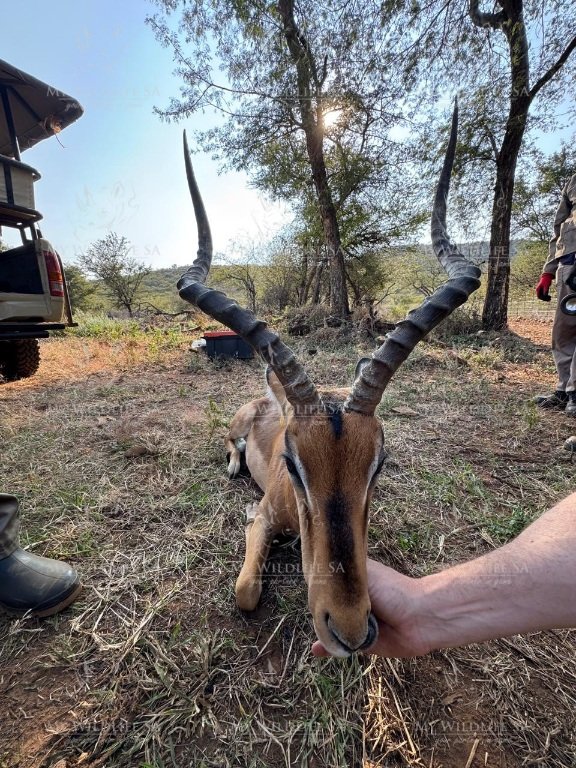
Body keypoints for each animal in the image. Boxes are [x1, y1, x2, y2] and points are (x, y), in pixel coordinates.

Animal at [178, 103, 481, 657]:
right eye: (292, 464)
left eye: (379, 463)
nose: (351, 630)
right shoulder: (261, 522)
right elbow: (246, 590)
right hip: (234, 427)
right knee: (229, 445)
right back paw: (232, 467)